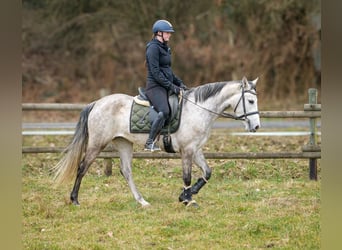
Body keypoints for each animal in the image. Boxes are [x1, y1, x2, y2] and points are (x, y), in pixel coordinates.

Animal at [52, 75, 260, 207]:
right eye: (250, 101)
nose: (256, 127)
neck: (198, 109)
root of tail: (96, 103)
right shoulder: (187, 150)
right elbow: (187, 176)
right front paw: (188, 199)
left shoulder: (196, 149)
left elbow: (207, 172)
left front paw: (187, 194)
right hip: (97, 143)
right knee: (82, 167)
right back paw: (75, 200)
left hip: (123, 143)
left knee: (126, 171)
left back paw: (142, 201)